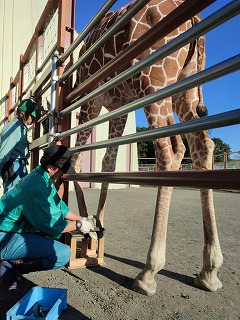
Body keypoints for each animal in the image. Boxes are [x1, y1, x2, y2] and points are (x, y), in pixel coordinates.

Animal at [71, 0, 223, 298]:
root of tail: (196, 20)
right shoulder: (119, 104)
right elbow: (108, 162)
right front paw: (98, 225)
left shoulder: (91, 99)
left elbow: (76, 162)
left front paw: (86, 224)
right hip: (185, 88)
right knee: (201, 144)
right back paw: (209, 270)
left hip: (153, 81)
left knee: (169, 150)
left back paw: (148, 272)